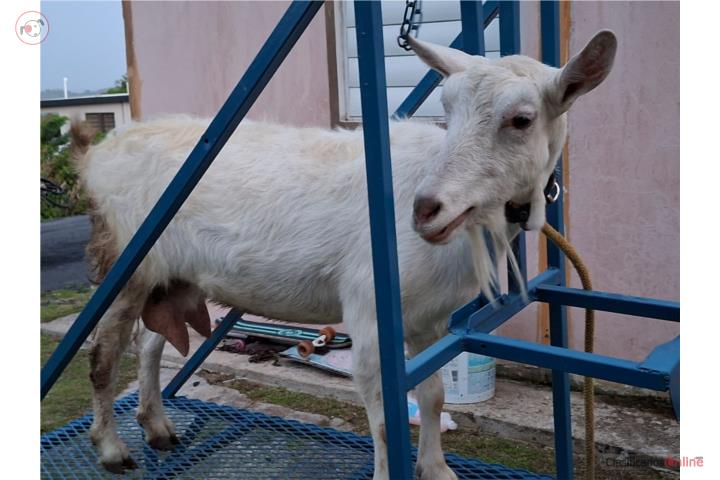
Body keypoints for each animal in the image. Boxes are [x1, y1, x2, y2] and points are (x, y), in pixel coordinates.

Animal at [74, 31, 616, 478]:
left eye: (521, 120)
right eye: (448, 110)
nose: (425, 209)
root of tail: (100, 150)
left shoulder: (428, 318)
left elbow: (433, 397)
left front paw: (438, 470)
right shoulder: (369, 311)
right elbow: (384, 418)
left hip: (167, 274)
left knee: (149, 344)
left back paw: (158, 428)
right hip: (127, 263)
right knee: (104, 354)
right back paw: (113, 449)